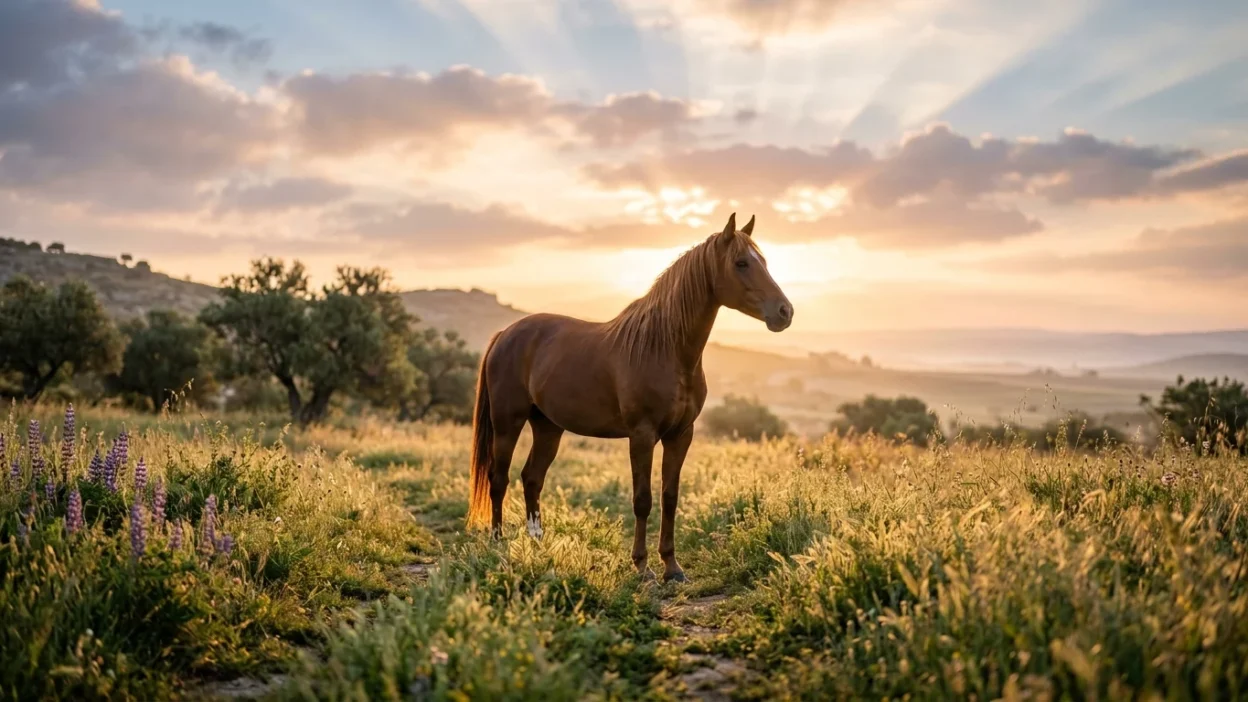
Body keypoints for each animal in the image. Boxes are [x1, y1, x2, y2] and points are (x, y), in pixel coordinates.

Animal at [465, 212, 793, 582]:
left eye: (762, 261)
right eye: (741, 263)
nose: (784, 312)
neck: (664, 348)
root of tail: (505, 334)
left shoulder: (681, 435)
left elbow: (670, 497)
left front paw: (672, 567)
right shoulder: (642, 435)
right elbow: (642, 499)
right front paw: (642, 565)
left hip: (548, 427)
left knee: (532, 478)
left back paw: (537, 543)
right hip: (507, 423)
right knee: (498, 479)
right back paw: (497, 543)